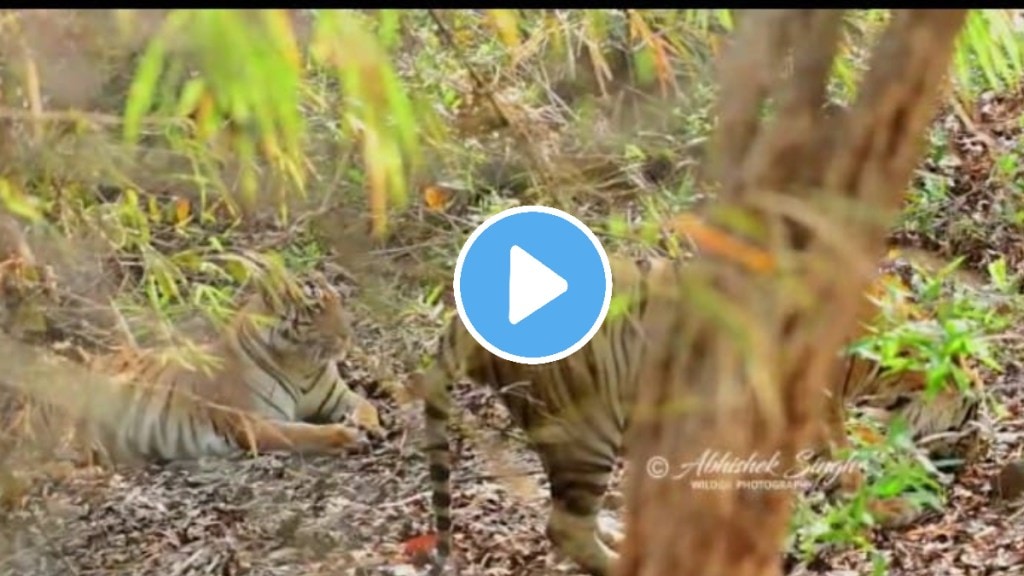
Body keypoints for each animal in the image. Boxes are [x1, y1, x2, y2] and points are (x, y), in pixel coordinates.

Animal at [2, 268, 382, 461]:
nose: (348, 334)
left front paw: (369, 425)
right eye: (315, 308)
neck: (300, 363)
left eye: (338, 301)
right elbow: (303, 432)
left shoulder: (340, 395)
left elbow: (368, 404)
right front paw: (348, 436)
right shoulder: (254, 423)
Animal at [421, 254, 983, 573]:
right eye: (970, 407)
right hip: (586, 432)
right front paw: (895, 502)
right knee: (564, 527)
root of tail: (462, 324)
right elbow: (847, 462)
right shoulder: (818, 406)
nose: (973, 446)